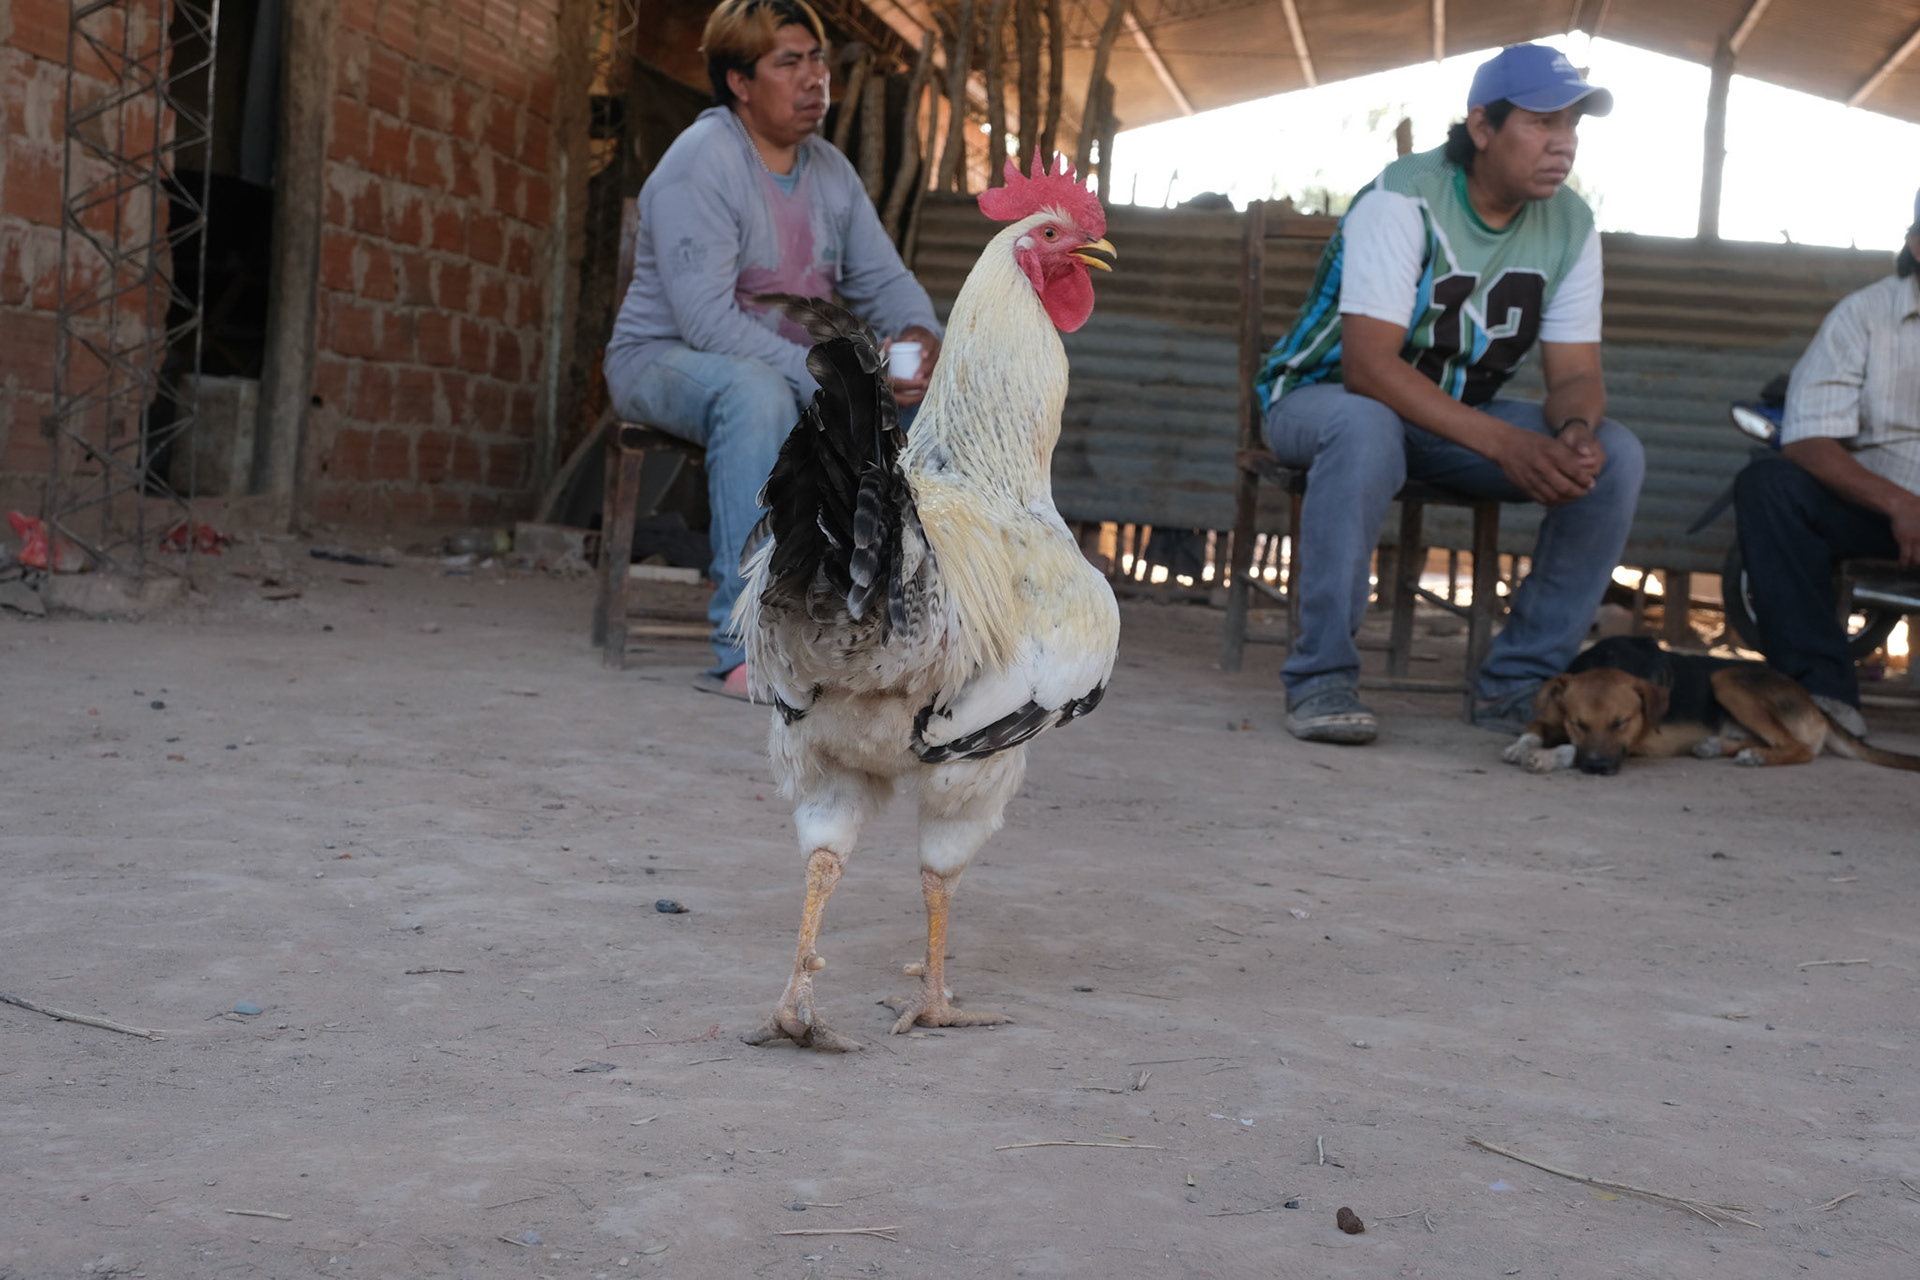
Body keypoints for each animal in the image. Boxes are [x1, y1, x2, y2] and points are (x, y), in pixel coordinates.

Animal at [1501, 636, 1920, 775]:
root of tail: (1815, 705)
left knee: (1799, 748)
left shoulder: (1637, 742)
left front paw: (1546, 757)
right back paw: (1715, 746)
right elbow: (1535, 729)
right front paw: (1522, 746)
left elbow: (1567, 749)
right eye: (1579, 722)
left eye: (1622, 722)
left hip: (1728, 678)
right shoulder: (1554, 714)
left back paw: (1755, 757)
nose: (1598, 769)